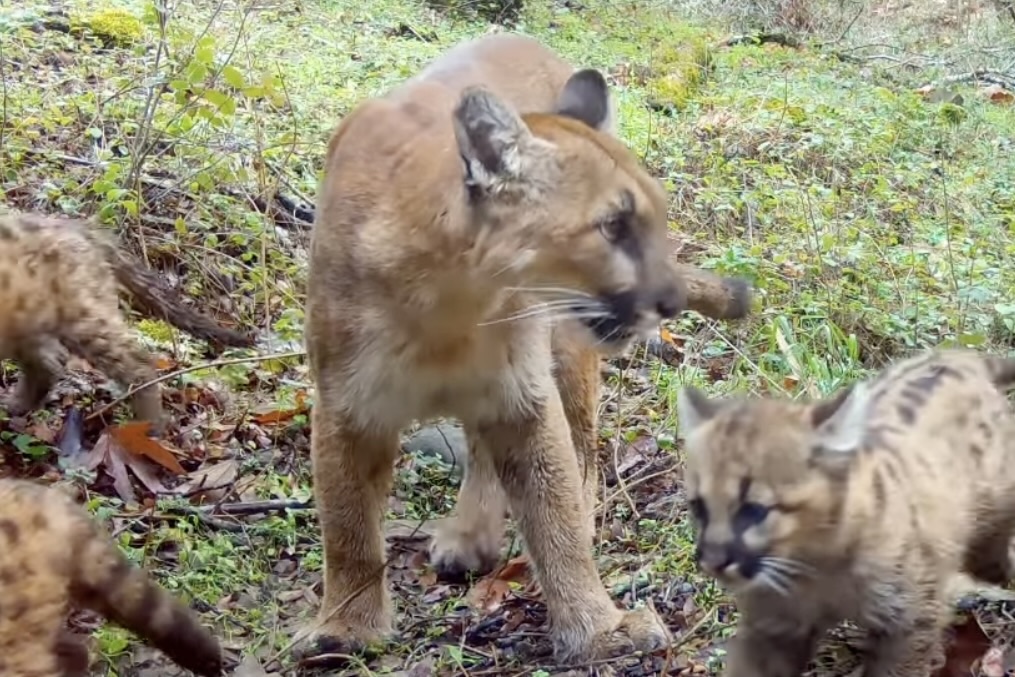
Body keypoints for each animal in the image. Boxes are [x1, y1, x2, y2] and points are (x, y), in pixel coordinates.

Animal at [300, 32, 753, 665]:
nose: (667, 299)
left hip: (564, 351)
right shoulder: (348, 406)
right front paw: (346, 628)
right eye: (614, 226)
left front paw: (598, 627)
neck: (451, 303)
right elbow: (347, 526)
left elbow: (553, 513)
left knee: (582, 452)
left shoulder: (523, 397)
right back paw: (469, 535)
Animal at [676, 347, 1015, 677]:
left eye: (754, 509)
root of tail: (961, 357)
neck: (815, 563)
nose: (712, 562)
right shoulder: (772, 627)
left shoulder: (911, 620)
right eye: (698, 506)